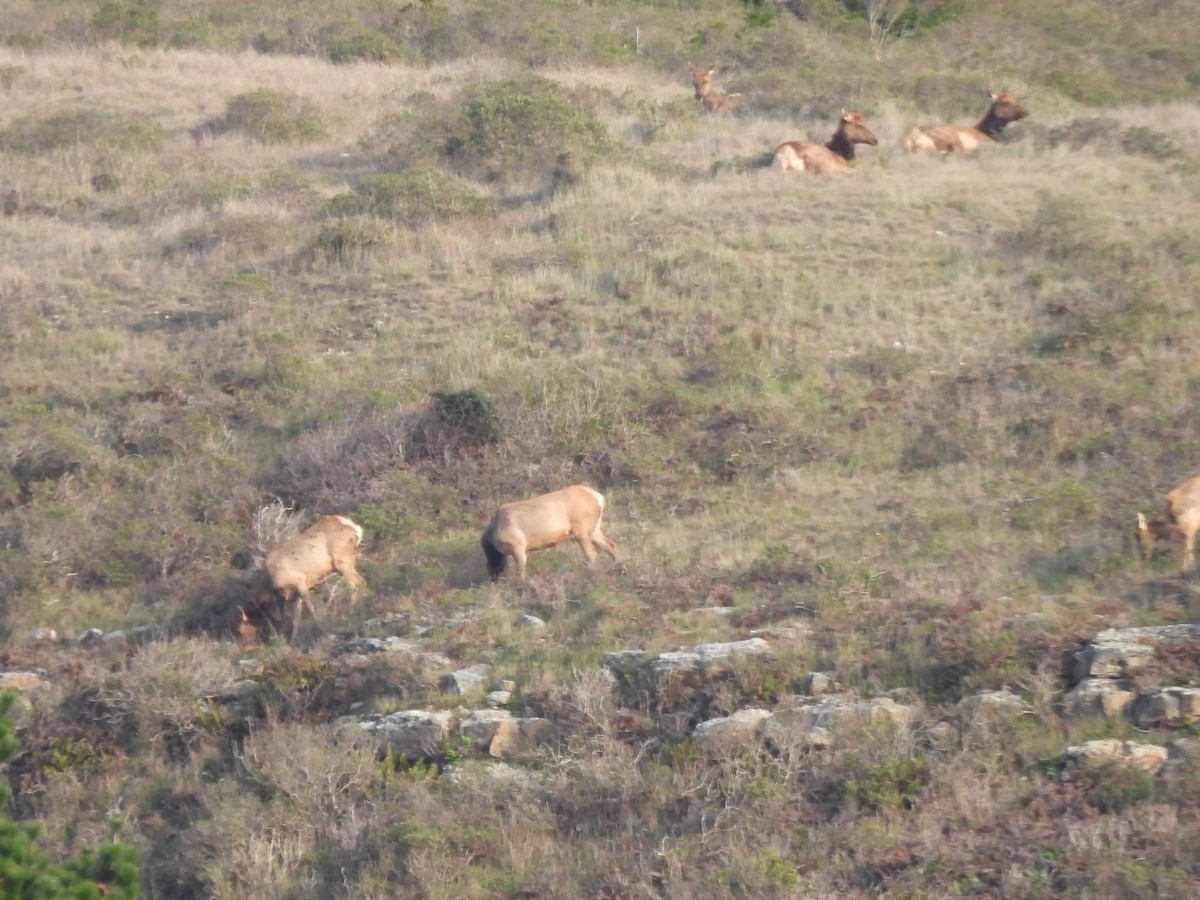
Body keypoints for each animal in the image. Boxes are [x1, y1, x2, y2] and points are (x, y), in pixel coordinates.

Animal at [482, 485, 620, 583]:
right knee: (611, 545)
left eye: (490, 567)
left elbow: (520, 572)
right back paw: (619, 568)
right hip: (594, 529)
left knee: (591, 554)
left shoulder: (518, 545)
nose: (494, 581)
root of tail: (599, 498)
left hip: (582, 529)